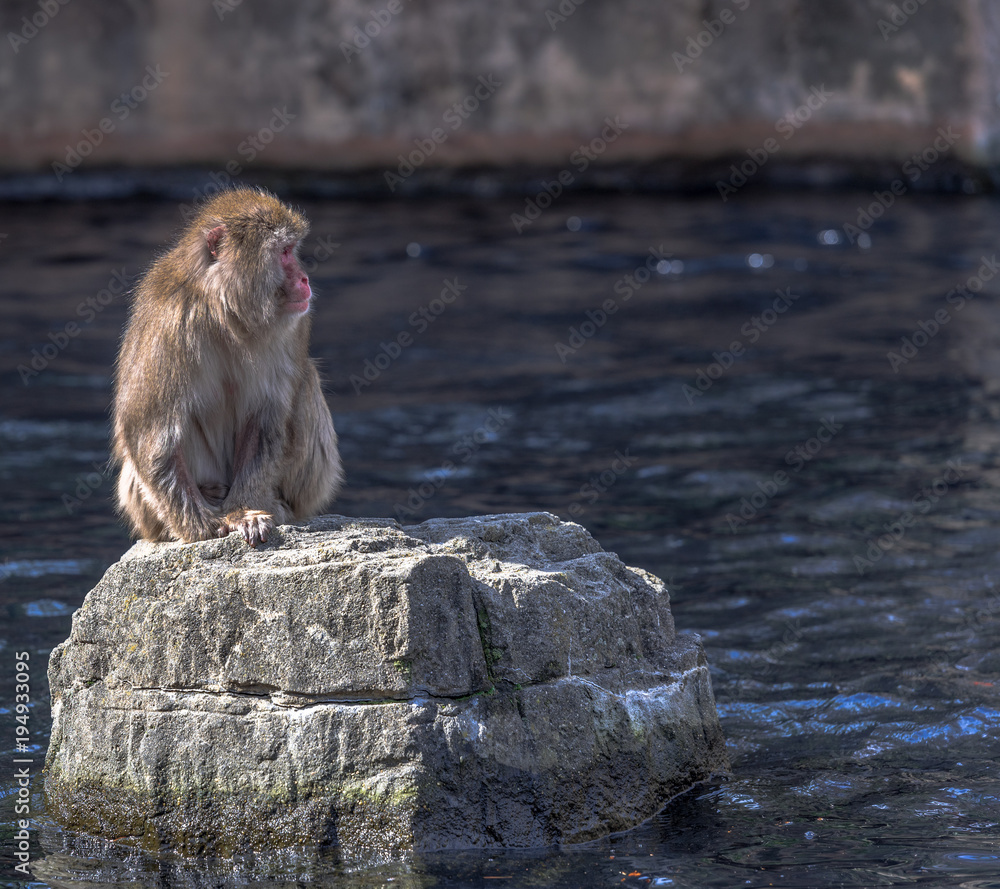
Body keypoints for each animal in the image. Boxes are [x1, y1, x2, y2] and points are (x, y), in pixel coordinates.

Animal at [111, 187, 343, 547]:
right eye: (285, 251)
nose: (305, 279)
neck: (224, 310)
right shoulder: (169, 319)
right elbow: (149, 429)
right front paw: (201, 527)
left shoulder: (292, 325)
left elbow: (266, 418)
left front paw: (242, 511)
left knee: (306, 381)